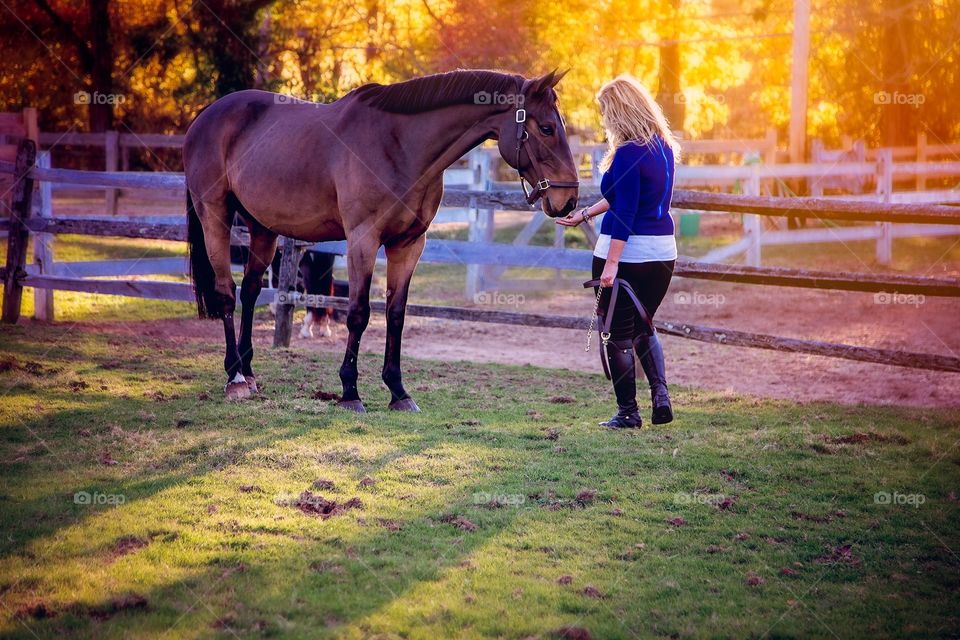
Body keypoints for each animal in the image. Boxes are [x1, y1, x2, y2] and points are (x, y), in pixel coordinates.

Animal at [184, 69, 579, 412]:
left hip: (262, 228)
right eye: (546, 128)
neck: (399, 145)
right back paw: (235, 379)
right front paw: (350, 391)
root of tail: (205, 116)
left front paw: (398, 392)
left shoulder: (409, 245)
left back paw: (248, 373)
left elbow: (396, 314)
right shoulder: (363, 240)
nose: (569, 199)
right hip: (215, 217)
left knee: (250, 292)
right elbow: (358, 313)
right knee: (226, 292)